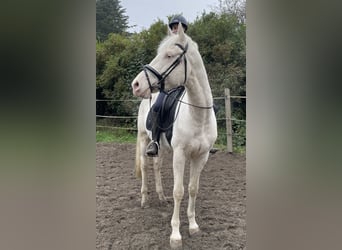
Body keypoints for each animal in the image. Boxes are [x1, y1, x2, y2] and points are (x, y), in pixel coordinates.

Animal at [131, 23, 216, 248]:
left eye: (169, 56)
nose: (136, 85)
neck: (198, 115)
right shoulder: (180, 155)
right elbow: (179, 191)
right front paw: (176, 235)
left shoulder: (201, 157)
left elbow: (193, 189)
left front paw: (193, 226)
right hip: (143, 138)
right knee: (145, 167)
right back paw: (144, 200)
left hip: (158, 146)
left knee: (156, 166)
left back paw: (161, 198)